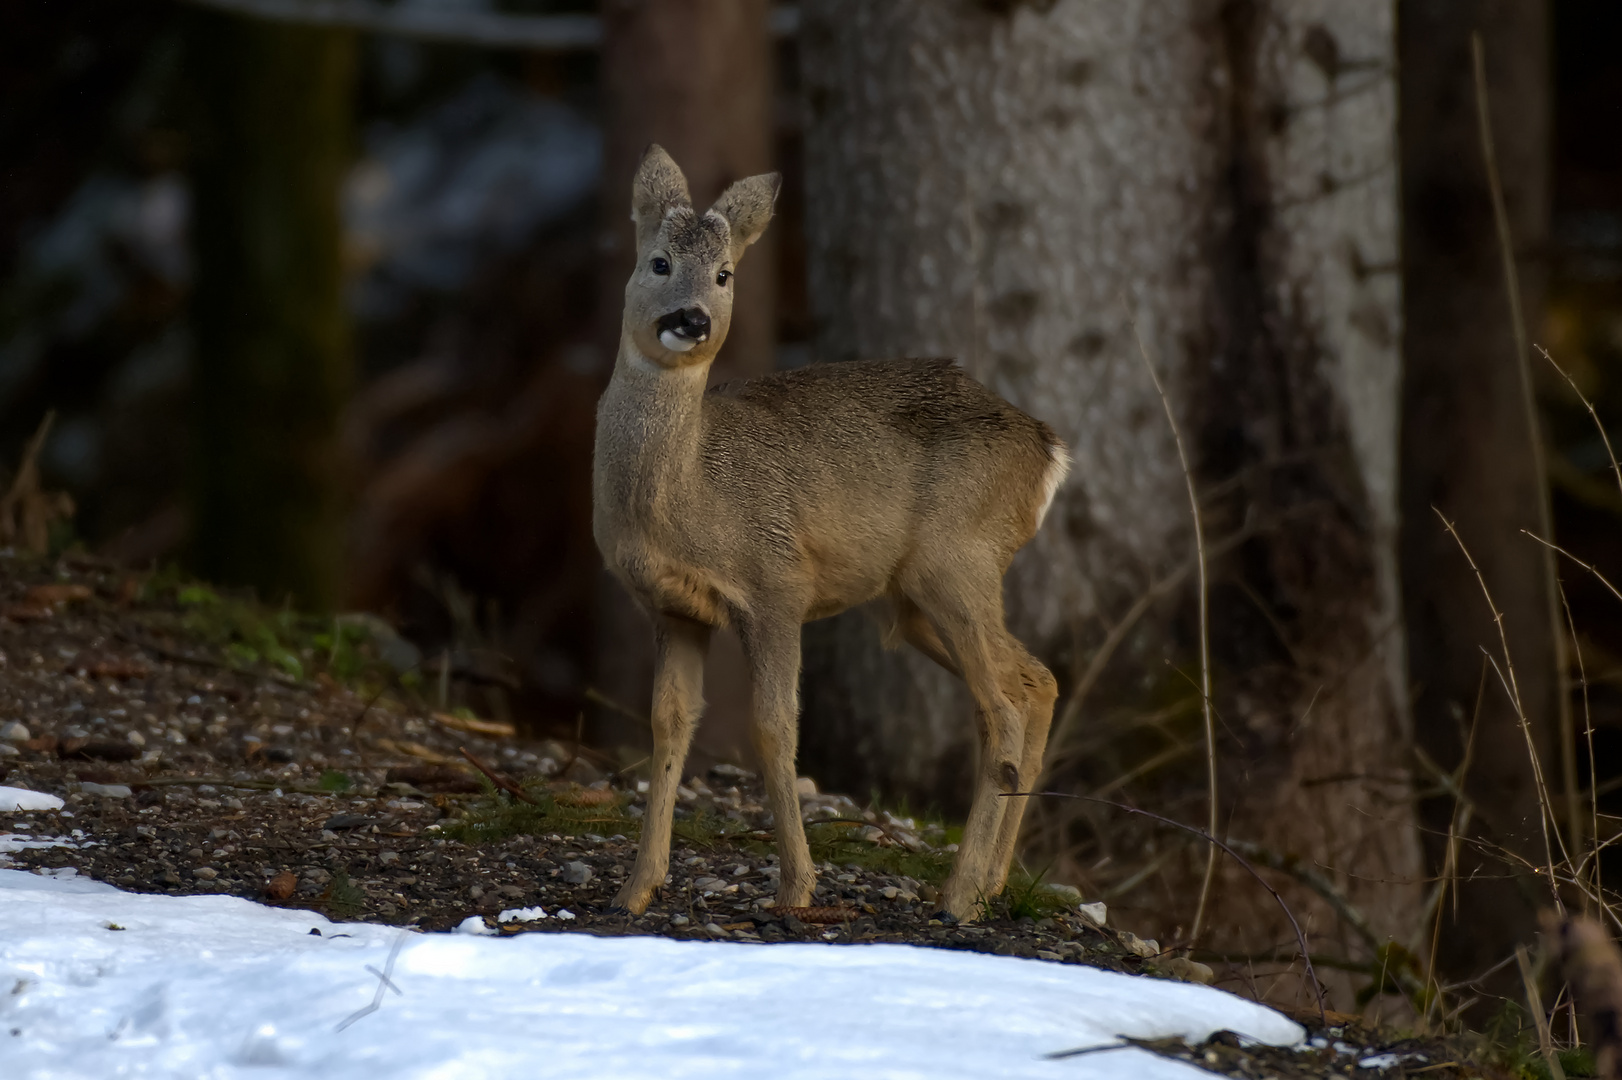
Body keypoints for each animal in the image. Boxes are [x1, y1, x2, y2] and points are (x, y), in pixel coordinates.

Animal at [590, 142, 1070, 914]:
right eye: (659, 261)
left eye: (725, 275)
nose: (691, 319)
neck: (691, 493)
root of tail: (1049, 450)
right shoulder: (670, 608)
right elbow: (669, 725)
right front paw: (636, 889)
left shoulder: (776, 585)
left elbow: (773, 727)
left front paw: (796, 888)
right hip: (913, 598)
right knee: (1034, 681)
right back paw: (994, 881)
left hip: (954, 560)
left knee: (999, 706)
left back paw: (960, 894)